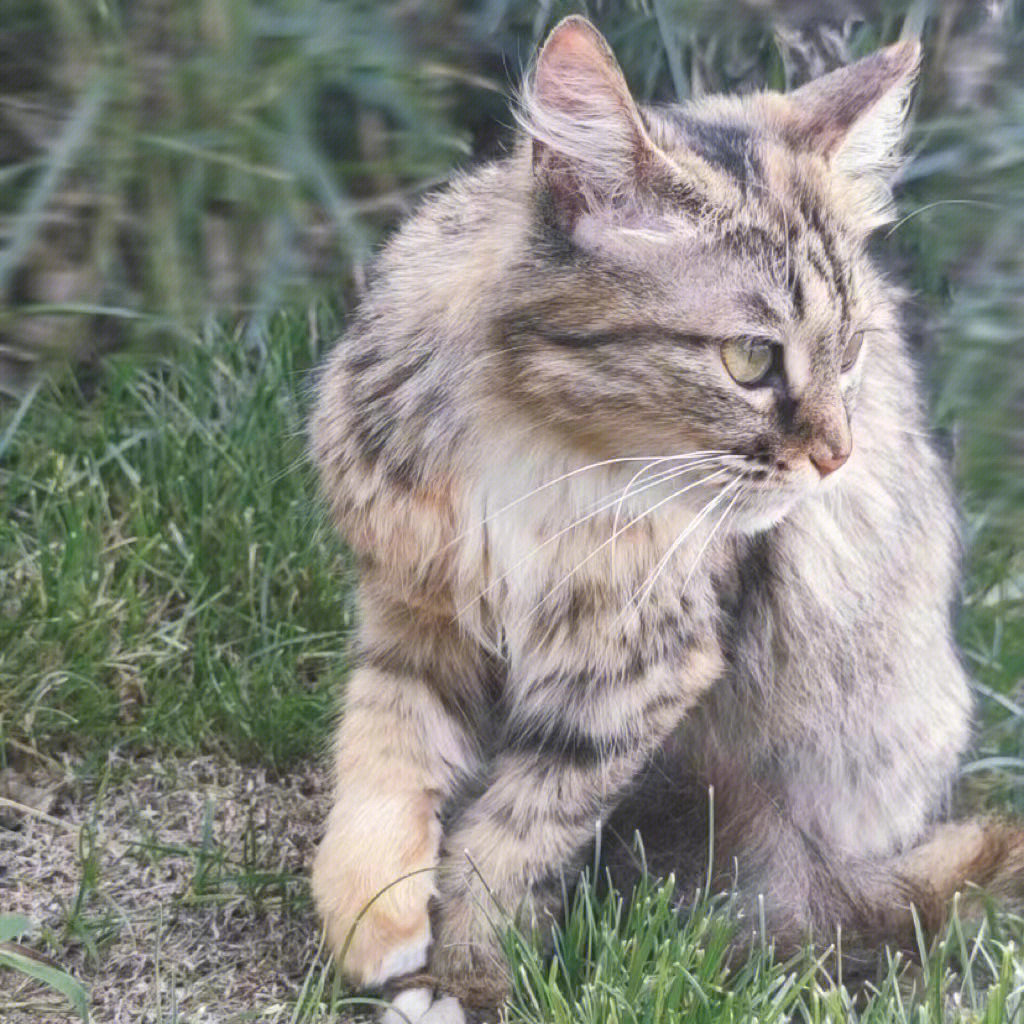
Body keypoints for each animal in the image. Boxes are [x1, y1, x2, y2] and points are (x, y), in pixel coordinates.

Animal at [307, 18, 1024, 1024]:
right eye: (750, 358)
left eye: (850, 353)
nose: (836, 456)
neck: (539, 452)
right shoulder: (417, 602)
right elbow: (380, 751)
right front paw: (371, 910)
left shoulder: (634, 667)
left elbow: (515, 837)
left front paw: (468, 978)